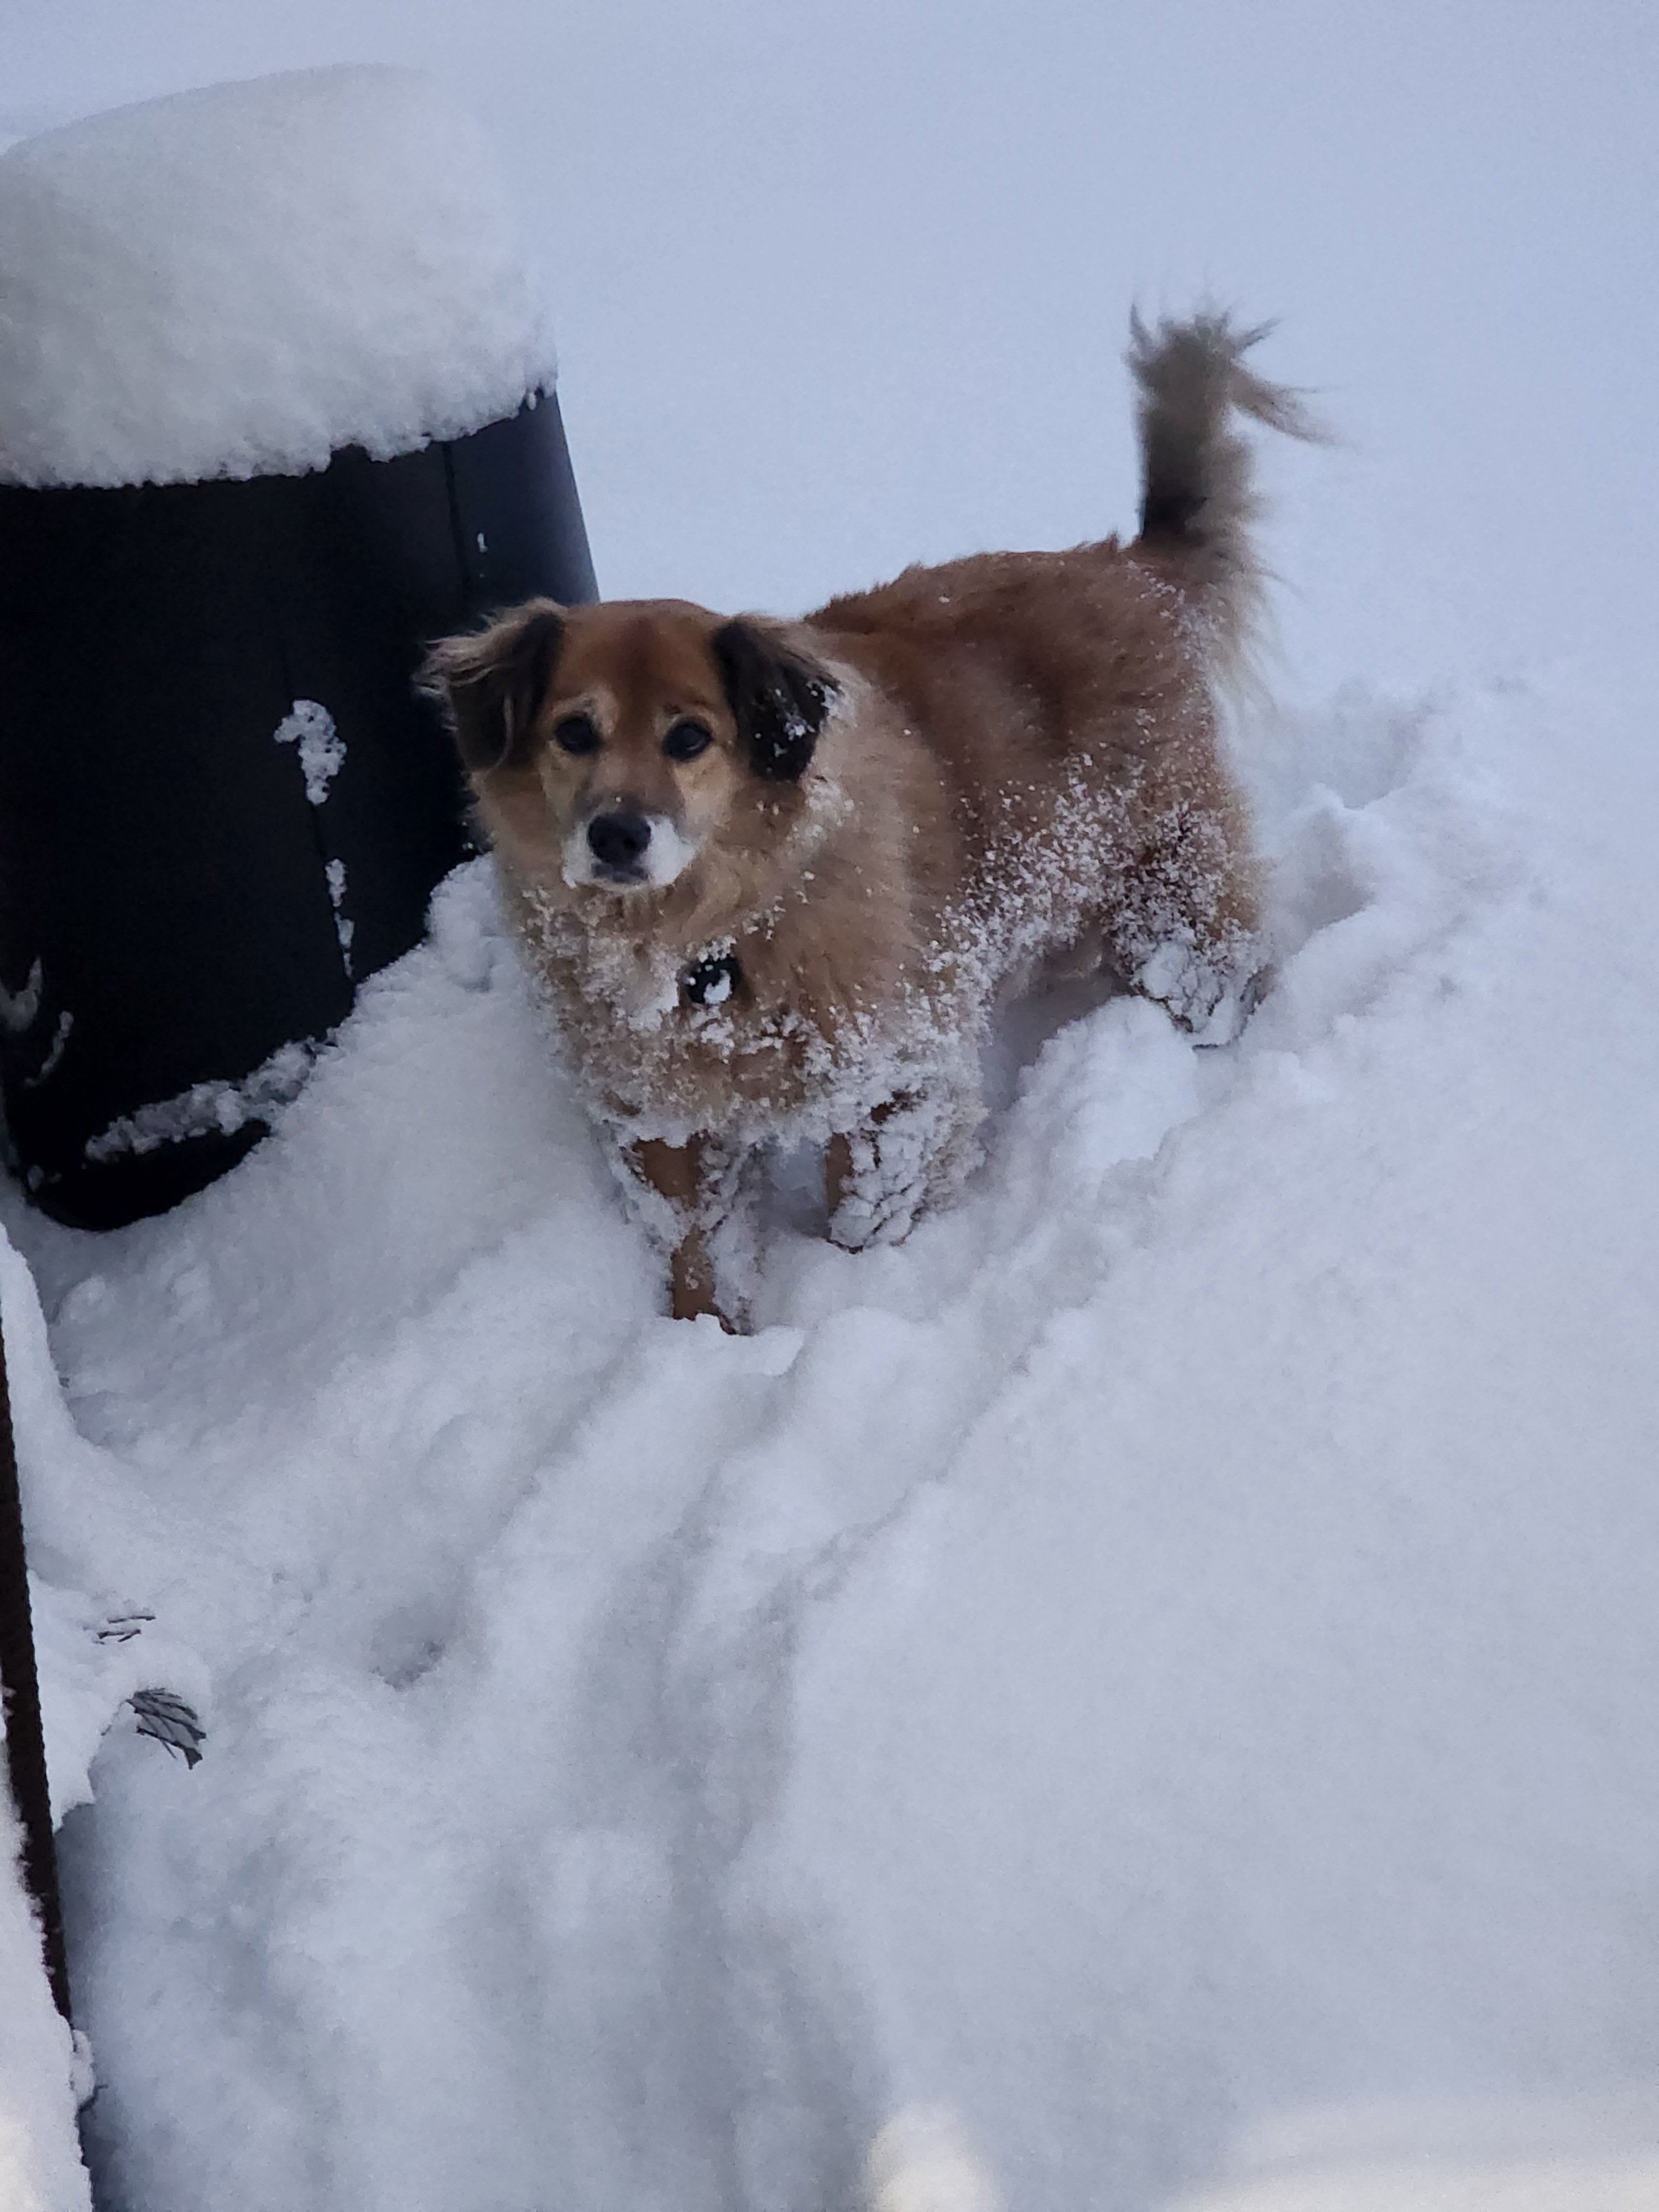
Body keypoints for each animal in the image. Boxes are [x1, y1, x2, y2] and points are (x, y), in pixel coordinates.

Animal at [425, 310, 1327, 1310]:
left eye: (690, 738)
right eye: (574, 732)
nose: (618, 835)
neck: (708, 940)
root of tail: (1133, 570)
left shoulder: (897, 1082)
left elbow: (865, 1217)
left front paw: (851, 1297)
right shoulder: (659, 1119)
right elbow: (693, 1250)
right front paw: (708, 1326)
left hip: (1170, 894)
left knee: (1216, 973)